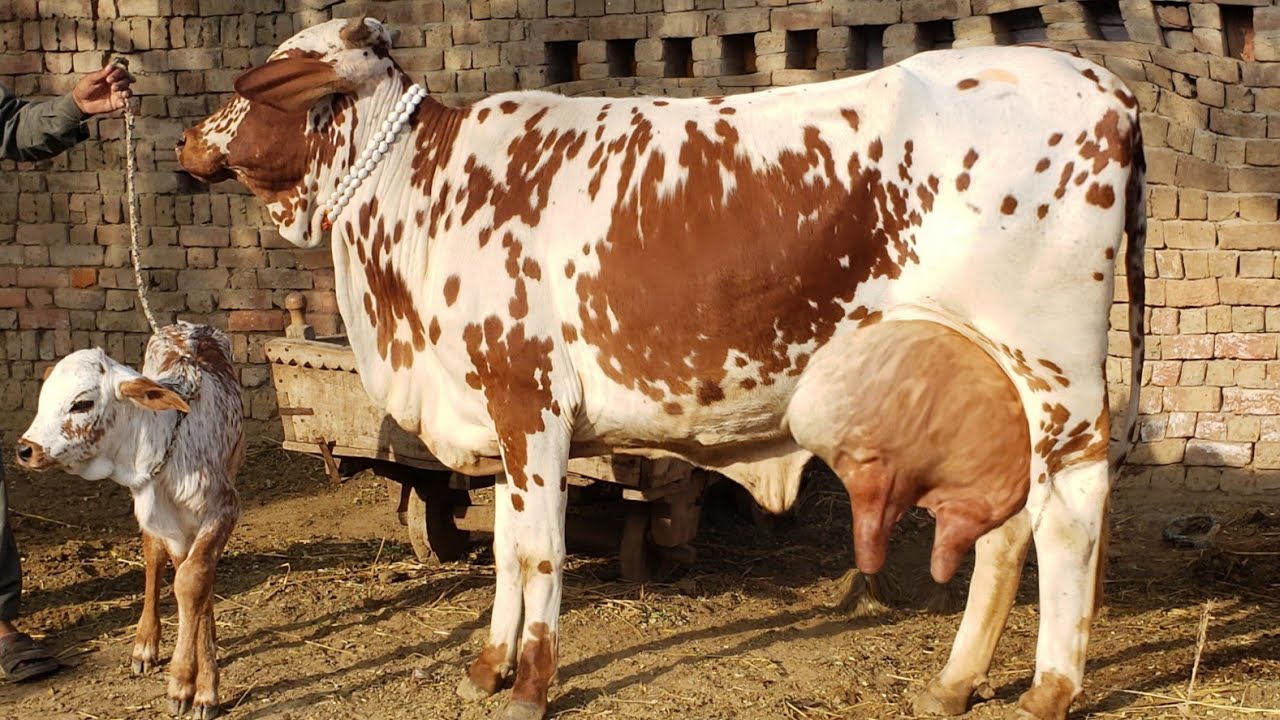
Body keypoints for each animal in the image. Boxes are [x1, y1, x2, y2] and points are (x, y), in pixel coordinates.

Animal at [16, 322, 243, 719]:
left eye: (82, 403)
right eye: (44, 399)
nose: (26, 449)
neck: (169, 439)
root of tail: (185, 326)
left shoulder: (223, 508)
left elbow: (193, 582)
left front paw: (196, 685)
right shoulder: (169, 523)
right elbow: (186, 581)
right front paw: (188, 681)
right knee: (153, 558)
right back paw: (145, 644)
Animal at [177, 18, 1146, 720]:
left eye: (263, 76)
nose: (187, 138)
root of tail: (1102, 82)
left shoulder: (529, 401)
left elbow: (538, 550)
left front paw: (533, 684)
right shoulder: (508, 422)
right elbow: (504, 545)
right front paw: (489, 666)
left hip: (1056, 373)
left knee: (1069, 516)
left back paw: (1050, 690)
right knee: (1007, 524)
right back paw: (955, 683)